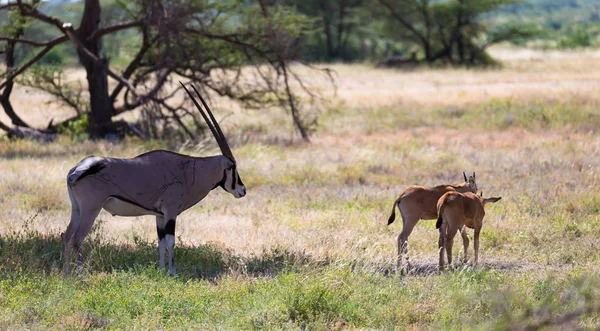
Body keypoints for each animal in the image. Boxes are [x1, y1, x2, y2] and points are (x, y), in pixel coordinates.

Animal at [61, 83, 246, 274]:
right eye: (232, 167)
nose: (242, 190)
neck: (189, 170)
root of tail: (76, 171)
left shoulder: (159, 215)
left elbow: (160, 242)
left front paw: (162, 269)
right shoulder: (170, 211)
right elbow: (171, 241)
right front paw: (172, 272)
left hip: (77, 209)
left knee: (66, 235)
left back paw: (66, 273)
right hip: (91, 209)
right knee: (77, 238)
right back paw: (80, 273)